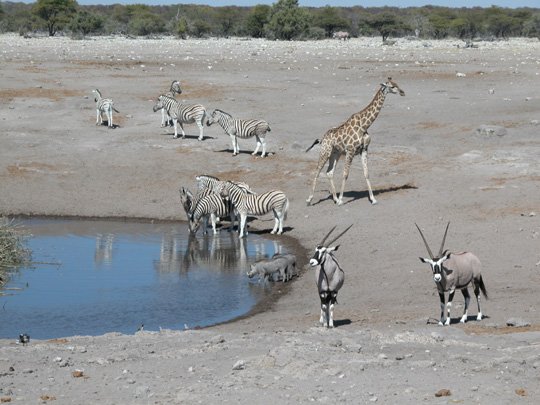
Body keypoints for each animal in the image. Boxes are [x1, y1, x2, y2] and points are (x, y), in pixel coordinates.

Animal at [306, 77, 402, 207]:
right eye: (392, 87)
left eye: (397, 84)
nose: (402, 92)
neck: (364, 125)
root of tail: (322, 139)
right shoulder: (350, 150)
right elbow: (345, 174)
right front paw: (342, 200)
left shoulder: (364, 149)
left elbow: (366, 173)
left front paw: (373, 199)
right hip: (325, 152)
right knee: (317, 171)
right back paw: (310, 199)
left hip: (335, 154)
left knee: (329, 172)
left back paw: (334, 198)